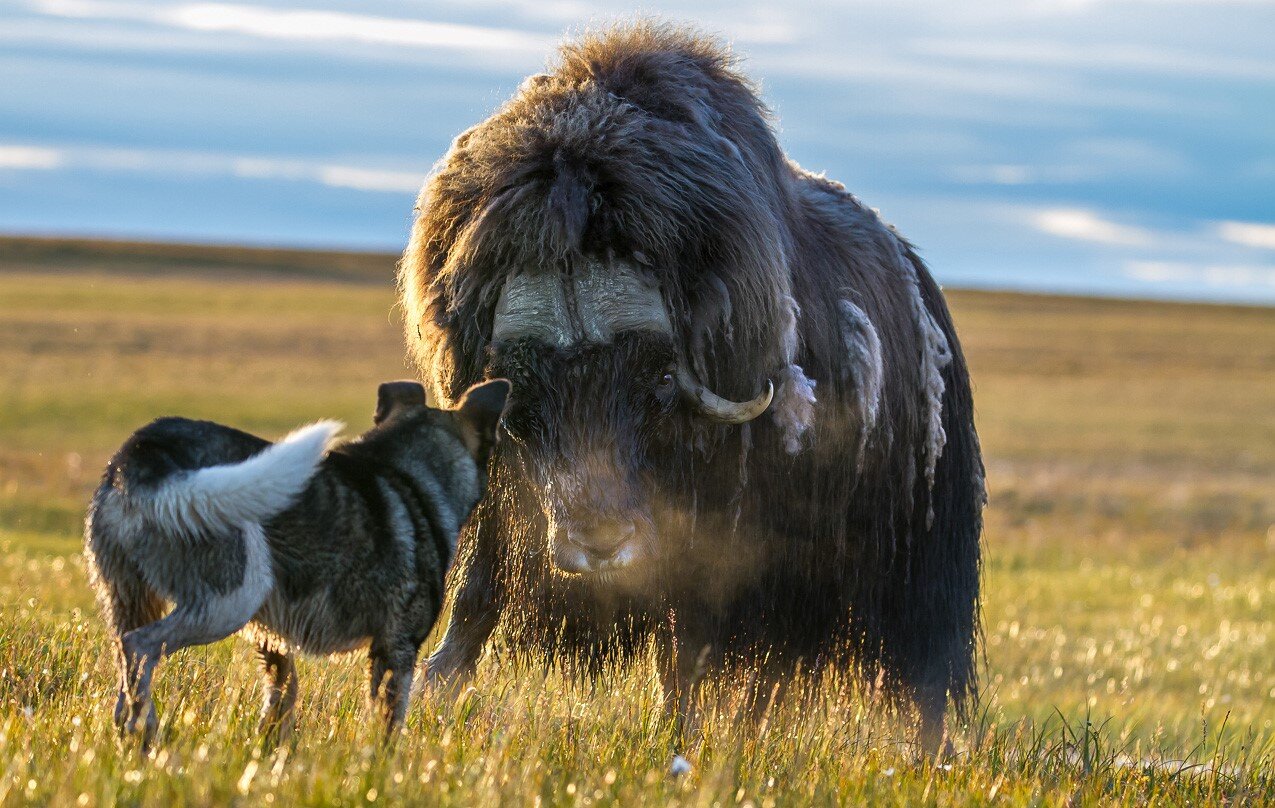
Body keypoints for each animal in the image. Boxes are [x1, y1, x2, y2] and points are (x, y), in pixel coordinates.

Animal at [79, 377, 504, 744]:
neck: (412, 474)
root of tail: (147, 451)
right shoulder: (396, 647)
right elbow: (388, 727)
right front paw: (382, 771)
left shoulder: (271, 638)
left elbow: (282, 696)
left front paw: (270, 755)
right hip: (229, 601)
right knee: (140, 646)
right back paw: (145, 731)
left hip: (129, 597)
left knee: (125, 671)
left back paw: (136, 736)